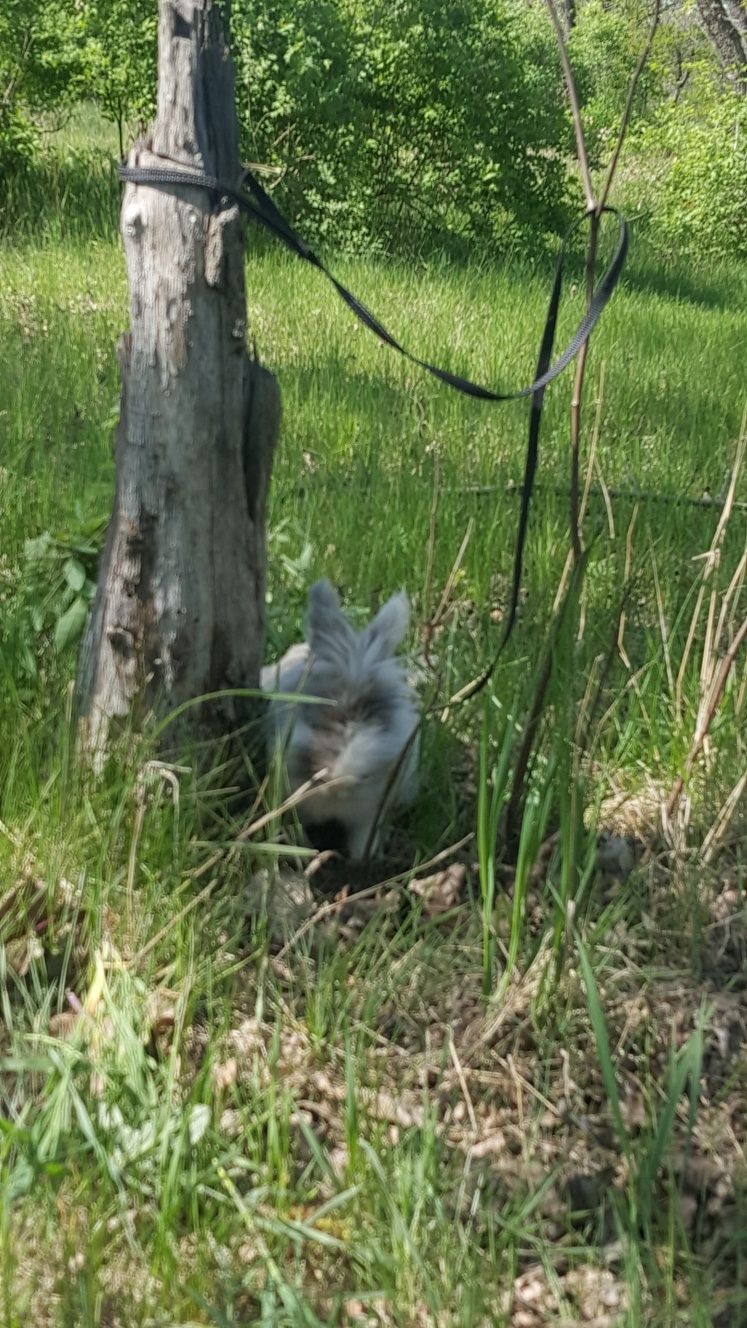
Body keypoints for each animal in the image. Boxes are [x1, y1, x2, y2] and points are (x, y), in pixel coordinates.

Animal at [259, 581, 414, 860]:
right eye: (317, 720)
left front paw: (363, 860)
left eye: (374, 718)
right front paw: (304, 852)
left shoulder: (370, 813)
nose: (339, 781)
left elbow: (363, 840)